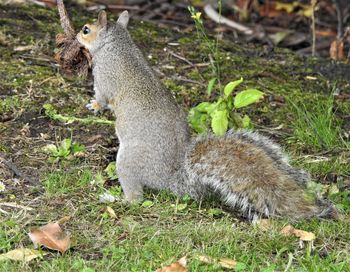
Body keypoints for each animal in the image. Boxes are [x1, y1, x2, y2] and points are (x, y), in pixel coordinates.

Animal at [76, 10, 340, 221]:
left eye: (86, 29)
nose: (76, 36)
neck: (117, 45)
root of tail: (169, 179)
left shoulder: (104, 77)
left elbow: (102, 96)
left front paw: (94, 105)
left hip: (128, 162)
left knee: (136, 197)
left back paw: (116, 199)